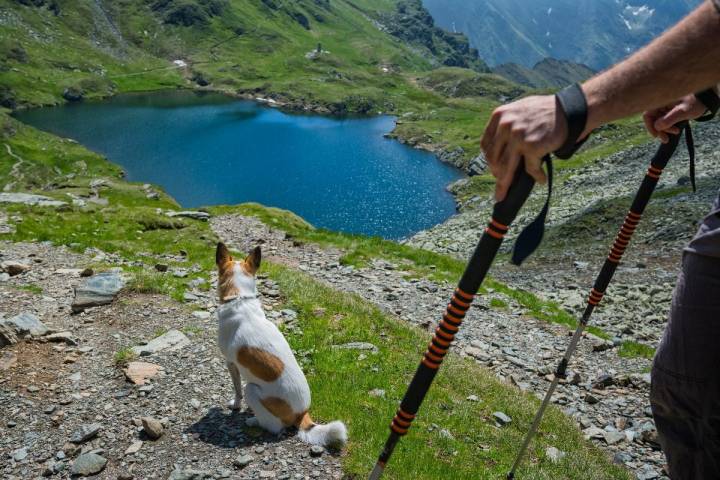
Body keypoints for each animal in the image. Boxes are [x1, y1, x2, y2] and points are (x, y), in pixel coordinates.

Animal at [215, 244, 348, 450]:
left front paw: (235, 406)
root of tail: (302, 413)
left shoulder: (230, 363)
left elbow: (237, 390)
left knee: (273, 426)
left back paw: (253, 421)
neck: (239, 298)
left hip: (252, 389)